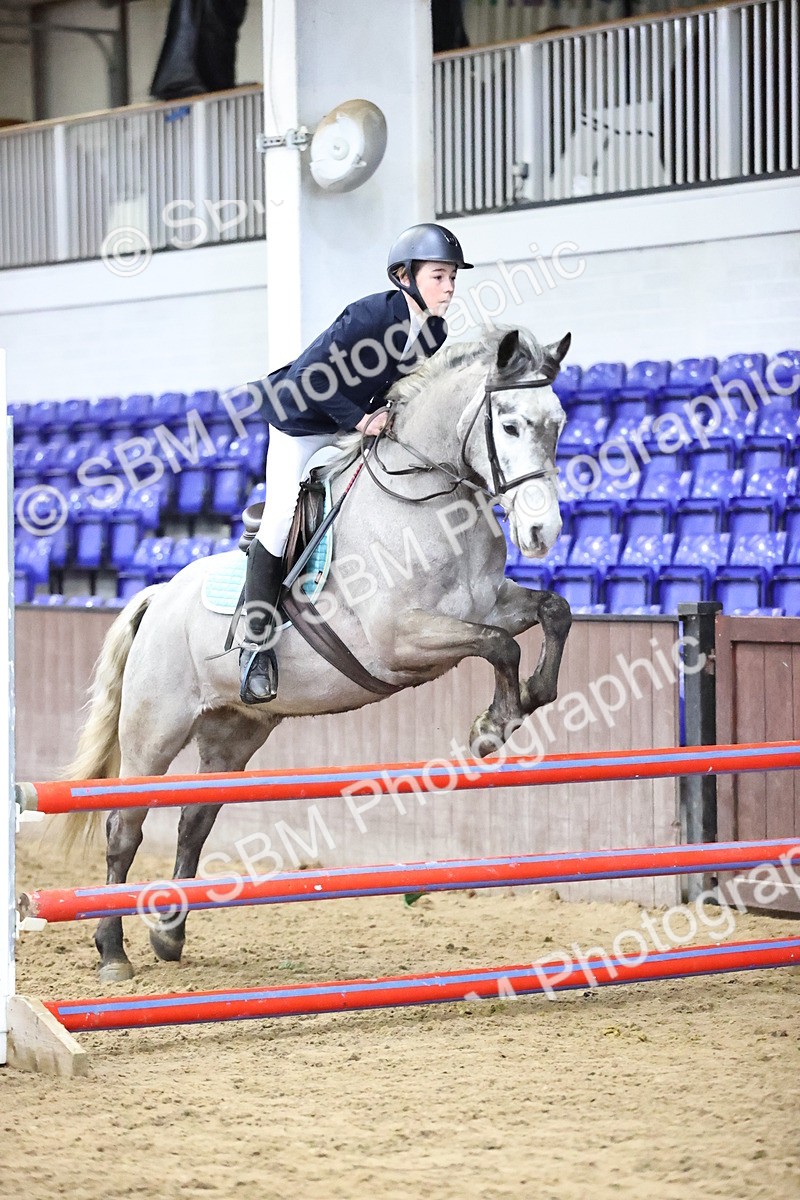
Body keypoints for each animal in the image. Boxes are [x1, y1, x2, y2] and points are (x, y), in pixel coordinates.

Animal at [63, 327, 573, 982]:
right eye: (509, 425)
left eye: (557, 423)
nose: (543, 533)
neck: (425, 501)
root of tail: (158, 596)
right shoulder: (400, 639)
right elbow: (498, 644)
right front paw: (493, 726)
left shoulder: (489, 603)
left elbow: (552, 612)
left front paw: (531, 697)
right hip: (154, 731)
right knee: (124, 826)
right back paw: (112, 952)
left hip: (234, 732)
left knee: (194, 819)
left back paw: (170, 935)